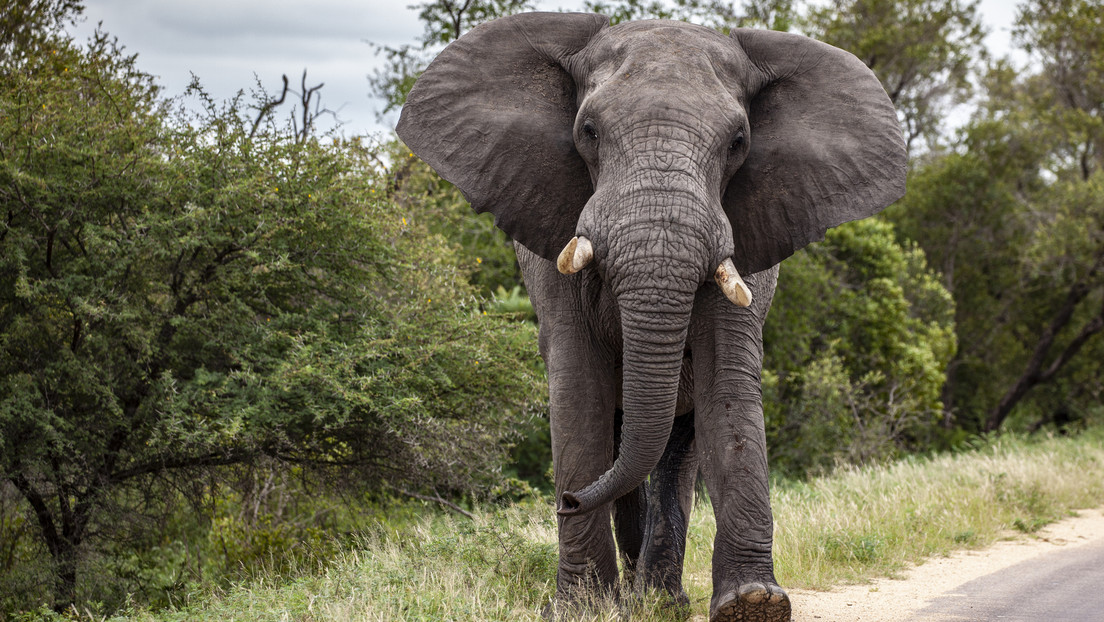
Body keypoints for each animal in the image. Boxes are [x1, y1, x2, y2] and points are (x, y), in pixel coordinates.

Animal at [396, 12, 906, 622]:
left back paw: (660, 601)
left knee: (675, 447)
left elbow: (726, 385)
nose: (566, 501)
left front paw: (752, 603)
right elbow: (579, 388)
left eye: (738, 142)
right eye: (588, 131)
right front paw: (582, 608)